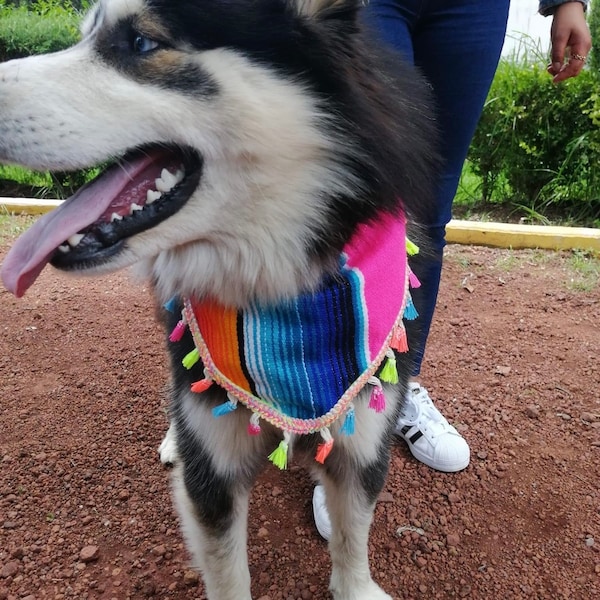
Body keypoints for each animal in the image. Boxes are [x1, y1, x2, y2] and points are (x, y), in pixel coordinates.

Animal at [0, 1, 436, 600]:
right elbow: (227, 570)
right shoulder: (212, 472)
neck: (282, 288)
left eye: (141, 42)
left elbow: (353, 545)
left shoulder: (365, 440)